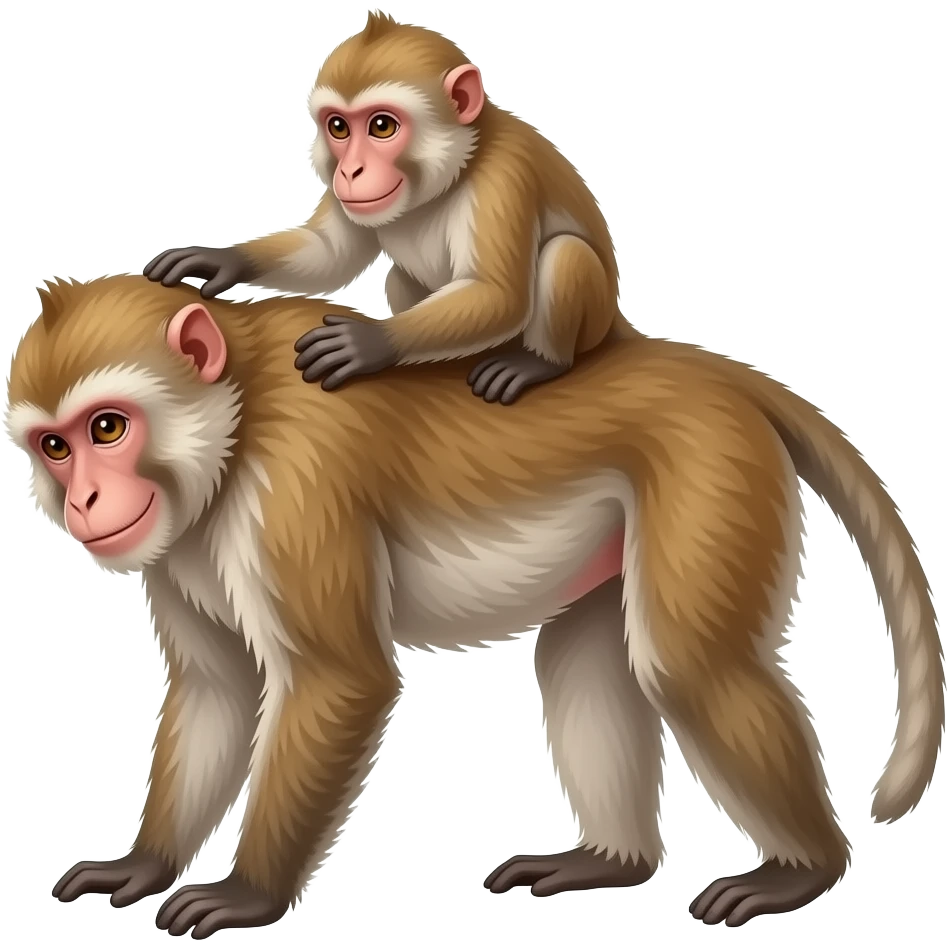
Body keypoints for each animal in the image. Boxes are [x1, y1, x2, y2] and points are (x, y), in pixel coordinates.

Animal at [7, 274, 944, 937]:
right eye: (54, 446)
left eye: (107, 429)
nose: (86, 502)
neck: (235, 427)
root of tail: (688, 363)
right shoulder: (179, 548)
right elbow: (218, 691)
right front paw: (143, 865)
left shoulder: (296, 489)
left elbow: (340, 680)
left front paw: (246, 893)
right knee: (584, 658)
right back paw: (610, 861)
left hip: (712, 464)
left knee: (691, 666)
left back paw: (804, 869)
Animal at [143, 11, 639, 406]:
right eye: (338, 128)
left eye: (382, 126)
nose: (351, 171)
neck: (454, 171)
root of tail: (616, 322)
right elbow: (330, 253)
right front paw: (224, 259)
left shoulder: (504, 177)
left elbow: (499, 294)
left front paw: (370, 341)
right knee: (402, 276)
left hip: (593, 324)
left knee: (566, 255)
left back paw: (540, 363)